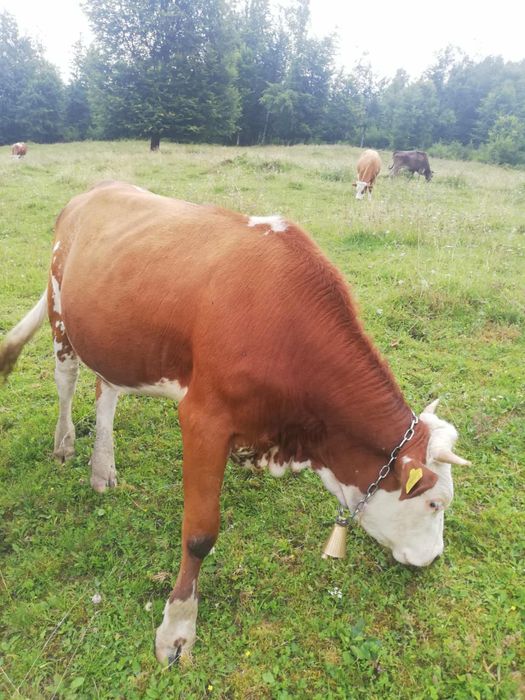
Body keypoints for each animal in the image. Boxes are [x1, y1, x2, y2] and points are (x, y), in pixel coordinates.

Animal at [0, 181, 468, 665]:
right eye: (436, 504)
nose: (433, 557)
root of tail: (99, 187)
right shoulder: (202, 419)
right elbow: (199, 533)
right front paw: (177, 628)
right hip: (61, 311)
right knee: (67, 378)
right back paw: (65, 443)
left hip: (116, 336)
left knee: (106, 390)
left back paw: (102, 467)